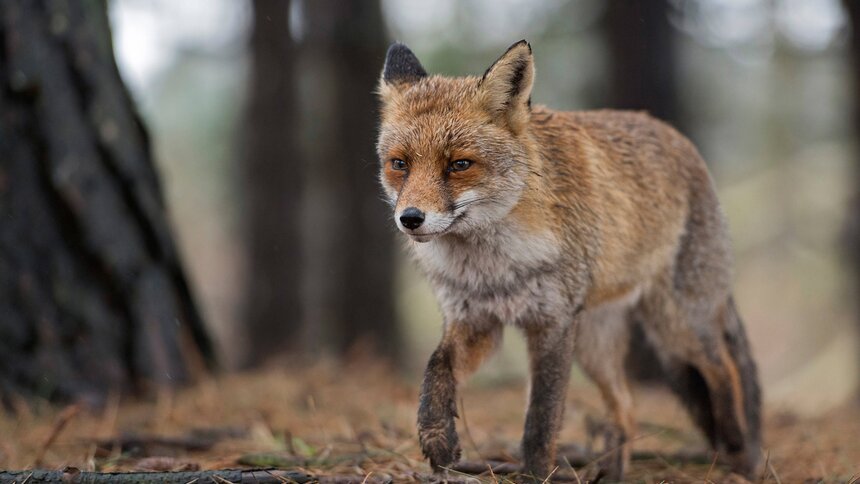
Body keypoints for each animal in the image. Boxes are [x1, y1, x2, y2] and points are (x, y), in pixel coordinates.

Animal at [376, 40, 761, 481]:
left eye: (459, 164)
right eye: (399, 164)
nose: (410, 218)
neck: (492, 269)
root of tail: (680, 139)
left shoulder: (553, 323)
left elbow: (541, 419)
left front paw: (534, 473)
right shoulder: (476, 321)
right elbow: (435, 369)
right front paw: (437, 438)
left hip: (676, 325)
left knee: (723, 369)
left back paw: (738, 447)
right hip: (597, 345)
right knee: (627, 408)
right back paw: (613, 472)